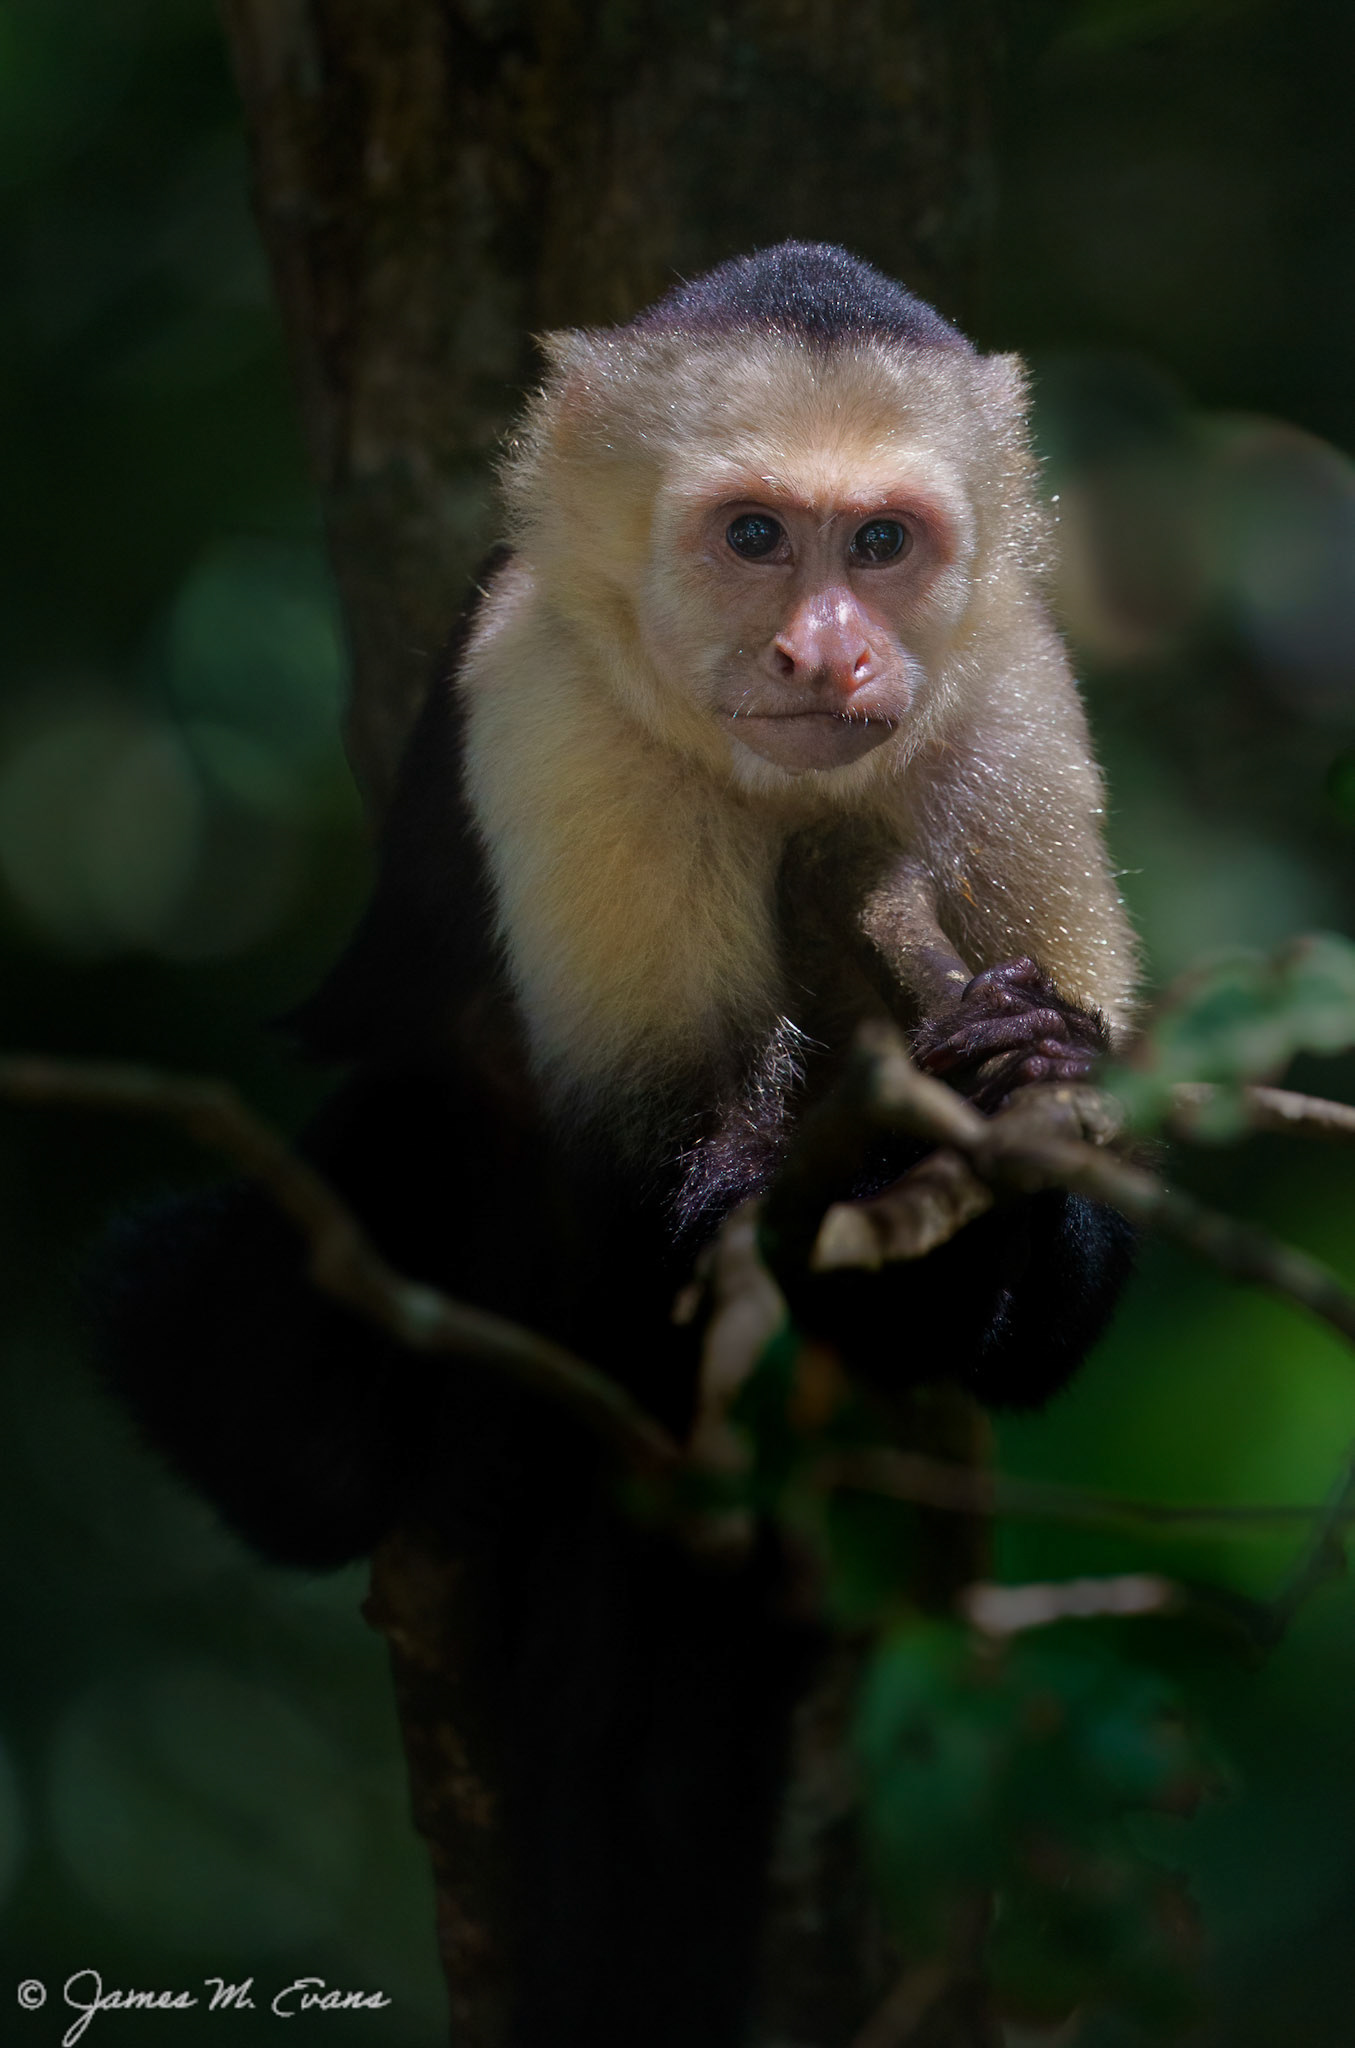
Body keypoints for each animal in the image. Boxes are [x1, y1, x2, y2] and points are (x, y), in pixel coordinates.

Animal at [96, 243, 1138, 2048]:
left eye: (880, 545)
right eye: (753, 537)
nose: (825, 654)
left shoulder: (1014, 709)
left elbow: (1048, 1309)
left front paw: (1006, 1088)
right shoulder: (546, 704)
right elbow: (679, 1202)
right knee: (274, 1372)